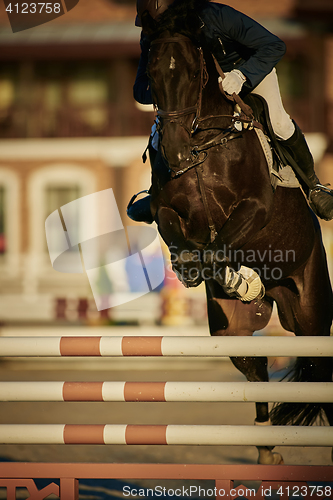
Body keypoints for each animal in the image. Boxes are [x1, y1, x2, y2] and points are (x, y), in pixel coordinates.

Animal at [141, 8, 330, 464]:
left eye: (194, 73)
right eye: (150, 75)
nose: (174, 153)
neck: (203, 145)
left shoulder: (255, 208)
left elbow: (216, 251)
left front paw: (242, 280)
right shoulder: (165, 212)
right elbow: (185, 243)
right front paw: (226, 278)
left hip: (314, 316)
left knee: (322, 371)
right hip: (235, 335)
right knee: (256, 370)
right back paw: (265, 450)